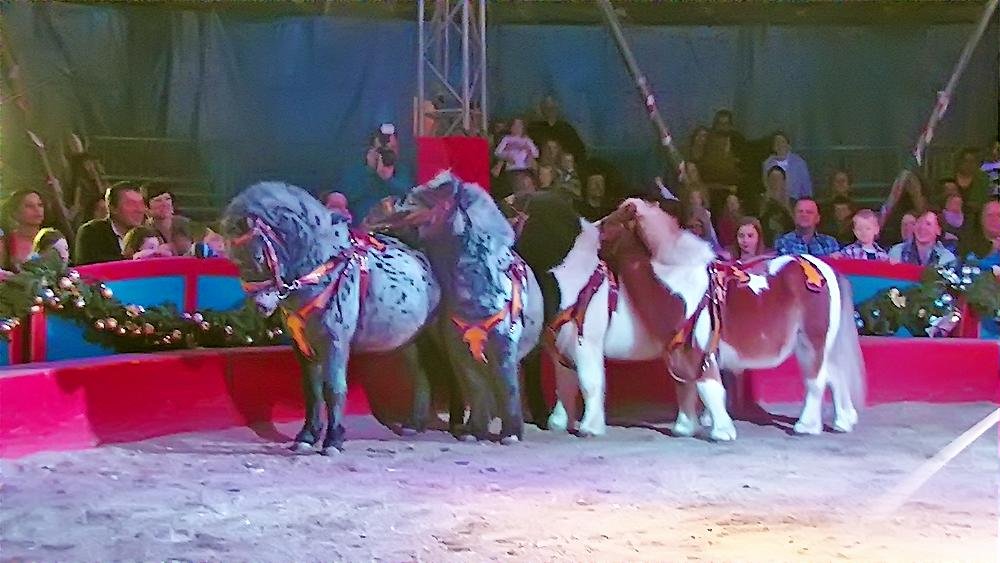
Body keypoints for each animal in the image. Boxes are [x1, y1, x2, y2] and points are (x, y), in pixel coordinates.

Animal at [222, 181, 443, 454]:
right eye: (234, 260)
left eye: (258, 258)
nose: (261, 306)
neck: (322, 271)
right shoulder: (303, 345)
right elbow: (312, 390)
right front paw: (307, 436)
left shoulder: (335, 341)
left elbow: (333, 389)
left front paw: (333, 440)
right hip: (409, 339)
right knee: (420, 371)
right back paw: (415, 423)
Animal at [369, 171, 544, 443]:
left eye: (417, 198)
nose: (375, 210)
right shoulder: (458, 348)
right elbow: (474, 386)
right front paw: (476, 431)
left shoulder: (505, 346)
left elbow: (507, 386)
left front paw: (510, 433)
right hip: (419, 346)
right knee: (426, 378)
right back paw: (421, 424)